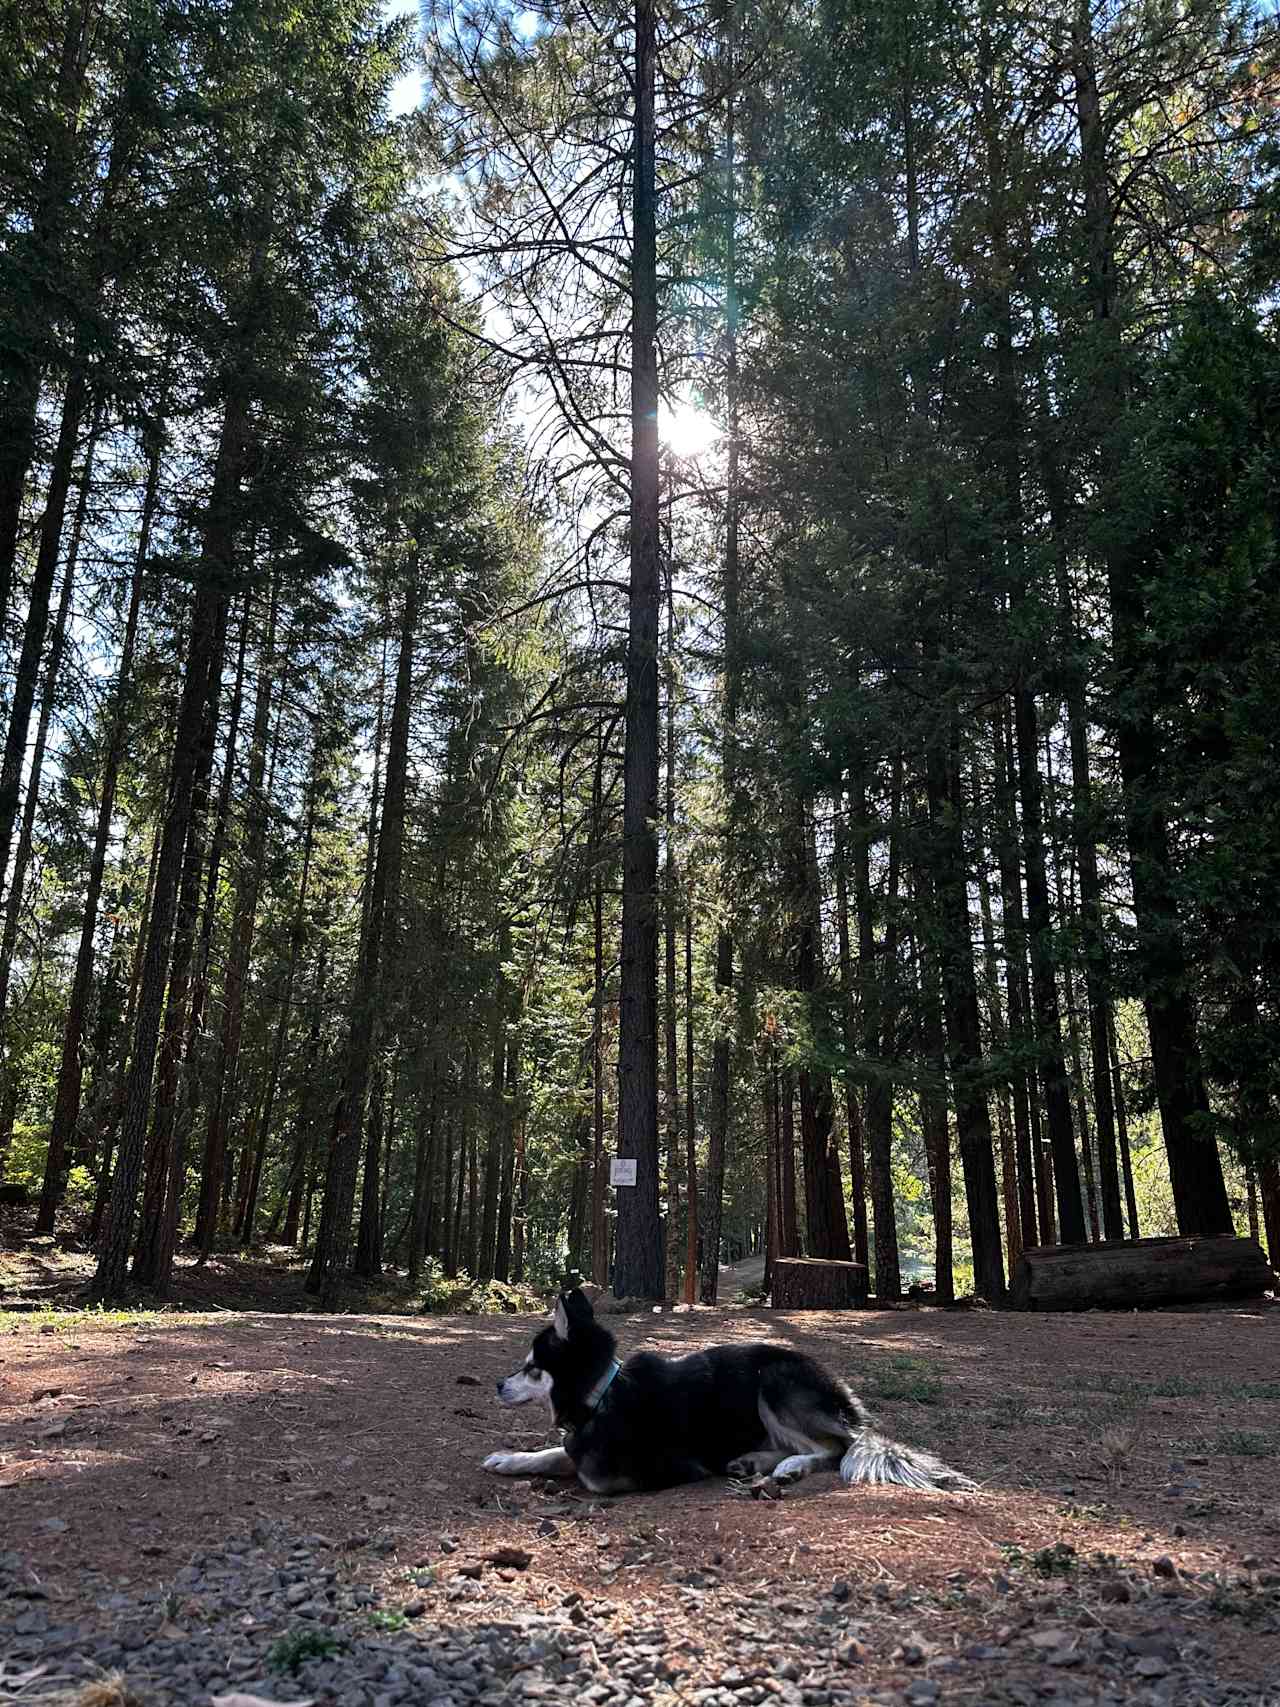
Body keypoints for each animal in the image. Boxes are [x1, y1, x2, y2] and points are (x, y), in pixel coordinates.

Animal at [484, 1290, 976, 1495]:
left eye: (531, 1368)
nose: (497, 1384)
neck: (603, 1393)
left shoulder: (634, 1472)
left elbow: (578, 1462)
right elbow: (556, 1451)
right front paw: (510, 1459)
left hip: (775, 1382)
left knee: (838, 1447)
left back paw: (791, 1467)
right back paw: (753, 1462)